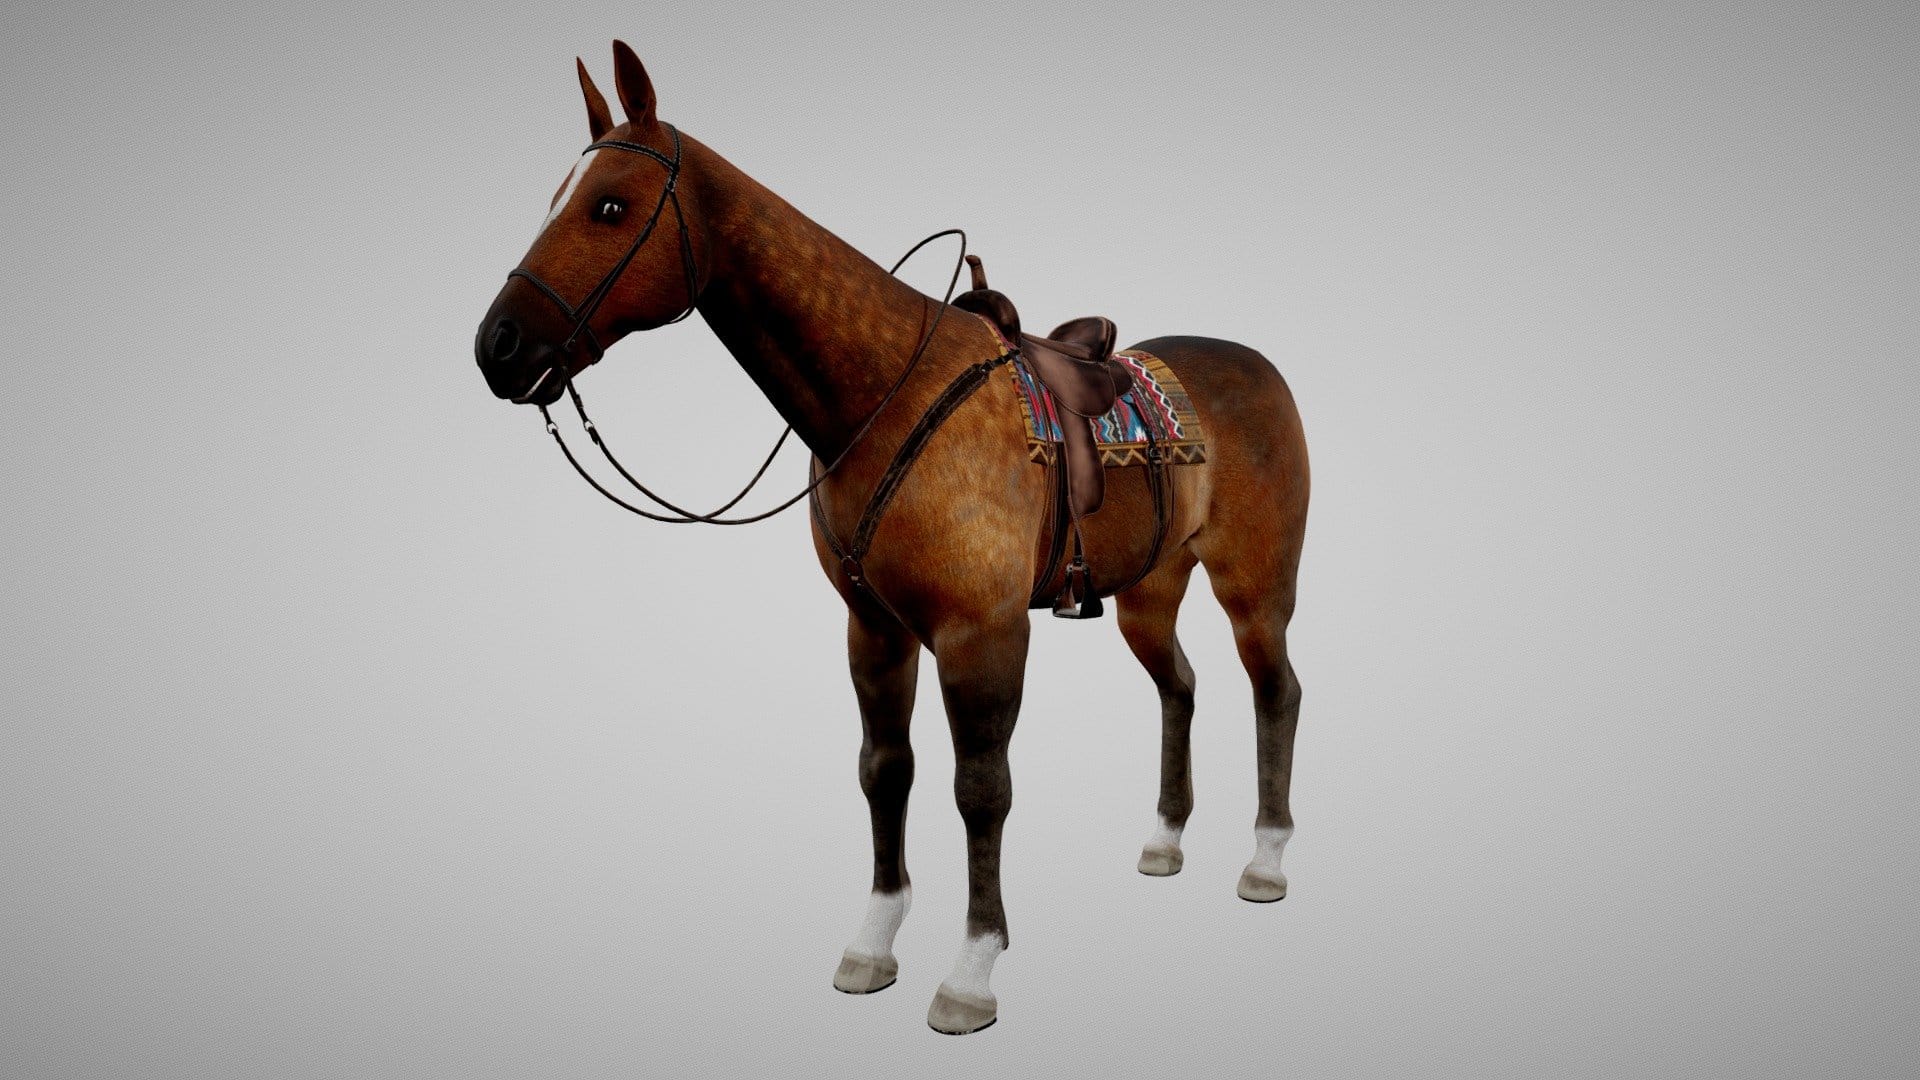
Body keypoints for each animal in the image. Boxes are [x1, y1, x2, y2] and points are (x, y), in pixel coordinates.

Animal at [474, 42, 1309, 1035]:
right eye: (558, 196)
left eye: (610, 206)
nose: (498, 347)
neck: (886, 392)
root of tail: (1262, 368)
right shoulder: (873, 628)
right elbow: (886, 770)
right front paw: (873, 944)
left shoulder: (982, 634)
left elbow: (980, 789)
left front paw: (972, 972)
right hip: (1149, 593)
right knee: (1178, 688)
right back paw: (1164, 841)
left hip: (1254, 589)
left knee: (1276, 693)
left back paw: (1264, 861)